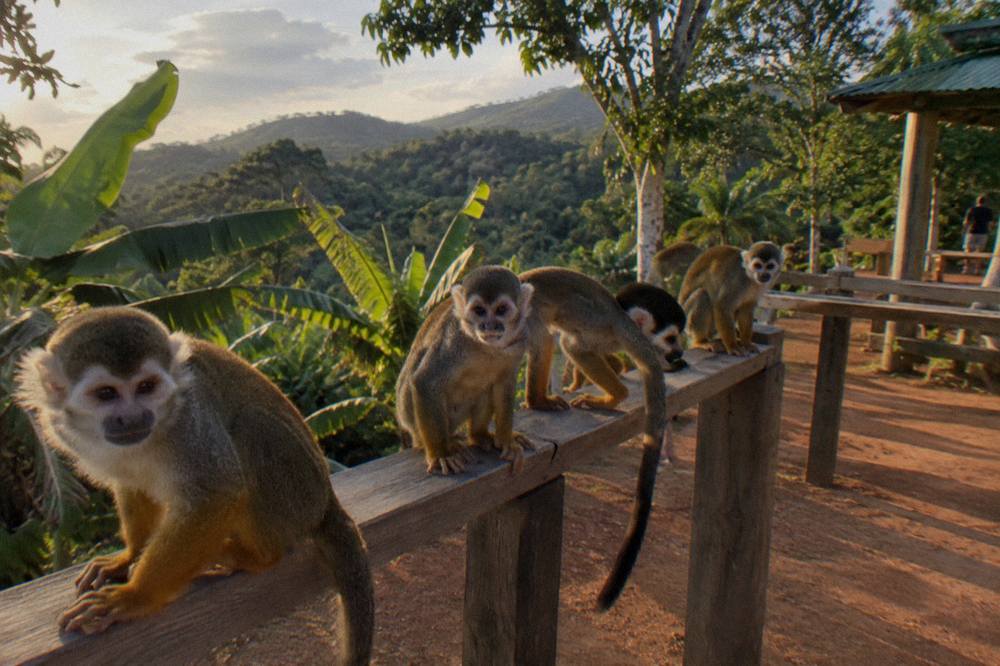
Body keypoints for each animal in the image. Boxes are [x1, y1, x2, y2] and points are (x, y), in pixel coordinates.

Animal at [14, 307, 373, 665]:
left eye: (146, 386)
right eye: (105, 393)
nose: (132, 417)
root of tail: (327, 498)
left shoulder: (191, 417)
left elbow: (217, 490)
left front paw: (134, 597)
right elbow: (131, 482)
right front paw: (130, 556)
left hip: (300, 493)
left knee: (251, 426)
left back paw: (258, 556)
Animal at [396, 265, 535, 475]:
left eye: (501, 310)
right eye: (479, 310)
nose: (489, 326)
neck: (485, 346)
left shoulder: (520, 339)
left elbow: (504, 384)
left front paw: (506, 441)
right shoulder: (453, 341)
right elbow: (425, 381)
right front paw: (441, 455)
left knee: (486, 388)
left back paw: (479, 436)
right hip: (408, 413)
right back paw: (445, 444)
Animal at [519, 267, 668, 610]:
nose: (677, 355)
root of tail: (619, 316)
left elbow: (543, 343)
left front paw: (536, 401)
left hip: (596, 324)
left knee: (570, 342)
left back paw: (616, 395)